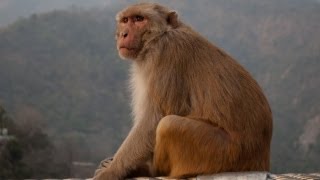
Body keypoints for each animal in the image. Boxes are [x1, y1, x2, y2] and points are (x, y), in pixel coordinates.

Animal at [92, 3, 272, 180]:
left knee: (169, 124)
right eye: (125, 21)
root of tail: (260, 159)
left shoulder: (166, 52)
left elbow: (154, 119)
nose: (123, 34)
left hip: (221, 153)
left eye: (138, 19)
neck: (159, 36)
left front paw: (112, 171)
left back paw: (150, 170)